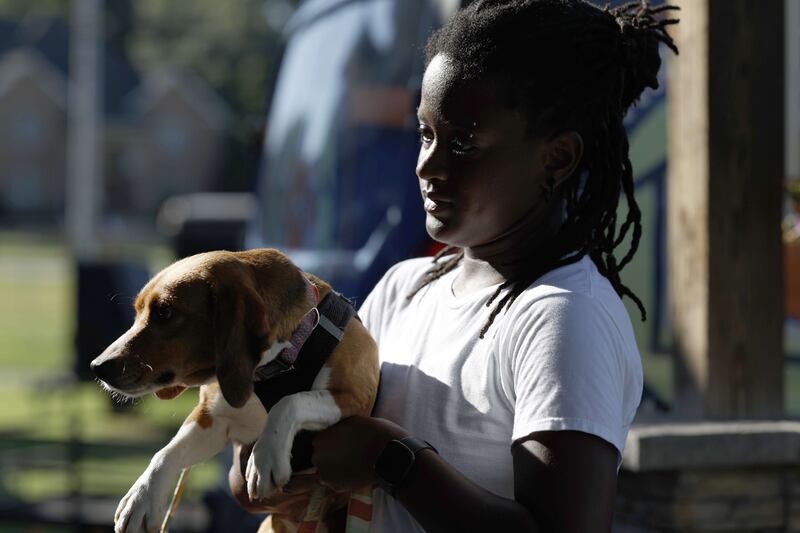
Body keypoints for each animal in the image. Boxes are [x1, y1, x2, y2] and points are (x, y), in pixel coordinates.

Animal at [90, 249, 382, 532]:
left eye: (165, 312)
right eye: (138, 312)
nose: (98, 366)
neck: (267, 372)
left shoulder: (356, 397)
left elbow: (288, 402)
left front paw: (265, 457)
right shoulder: (213, 419)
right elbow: (165, 453)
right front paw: (141, 497)